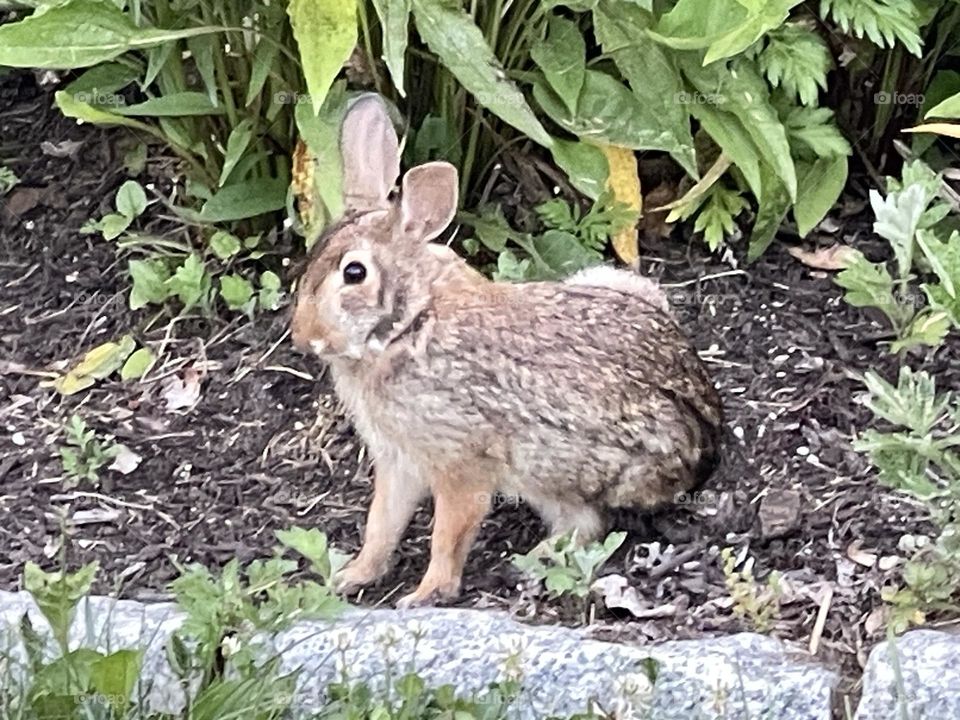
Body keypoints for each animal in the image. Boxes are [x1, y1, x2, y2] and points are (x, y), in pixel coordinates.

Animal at [291, 95, 723, 608]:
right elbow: (382, 525)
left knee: (586, 524)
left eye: (353, 273)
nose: (302, 336)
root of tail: (707, 436)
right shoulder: (398, 462)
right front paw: (351, 576)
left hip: (552, 465)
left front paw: (426, 594)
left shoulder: (460, 461)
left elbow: (449, 532)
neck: (411, 322)